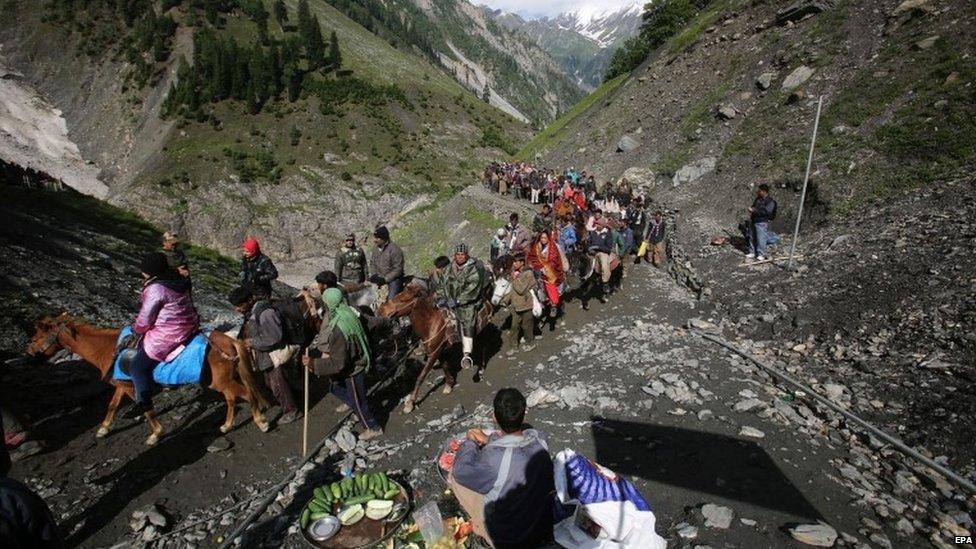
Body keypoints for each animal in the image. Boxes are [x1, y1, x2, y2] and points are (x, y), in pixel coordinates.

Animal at [27, 312, 270, 446]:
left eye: (36, 336)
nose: (28, 354)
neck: (109, 348)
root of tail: (229, 341)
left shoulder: (133, 385)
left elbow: (146, 408)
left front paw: (156, 433)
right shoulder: (121, 384)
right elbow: (112, 405)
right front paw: (103, 428)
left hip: (222, 381)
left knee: (247, 394)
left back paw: (261, 421)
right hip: (222, 382)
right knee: (232, 399)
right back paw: (227, 425)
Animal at [378, 282, 492, 412]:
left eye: (403, 299)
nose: (381, 310)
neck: (430, 324)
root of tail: (486, 301)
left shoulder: (433, 354)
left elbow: (421, 377)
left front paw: (410, 403)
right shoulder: (440, 351)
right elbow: (445, 367)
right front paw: (449, 384)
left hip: (482, 331)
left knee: (484, 348)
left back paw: (480, 371)